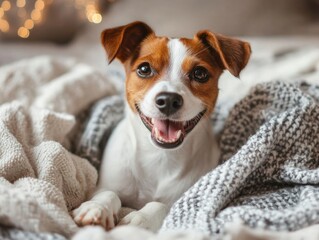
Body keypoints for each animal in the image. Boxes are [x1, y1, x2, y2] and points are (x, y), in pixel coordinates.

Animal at [72, 21, 252, 232]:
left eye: (200, 73)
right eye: (144, 69)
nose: (168, 100)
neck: (159, 156)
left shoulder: (188, 197)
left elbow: (161, 205)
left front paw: (140, 218)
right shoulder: (104, 184)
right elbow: (107, 193)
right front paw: (96, 207)